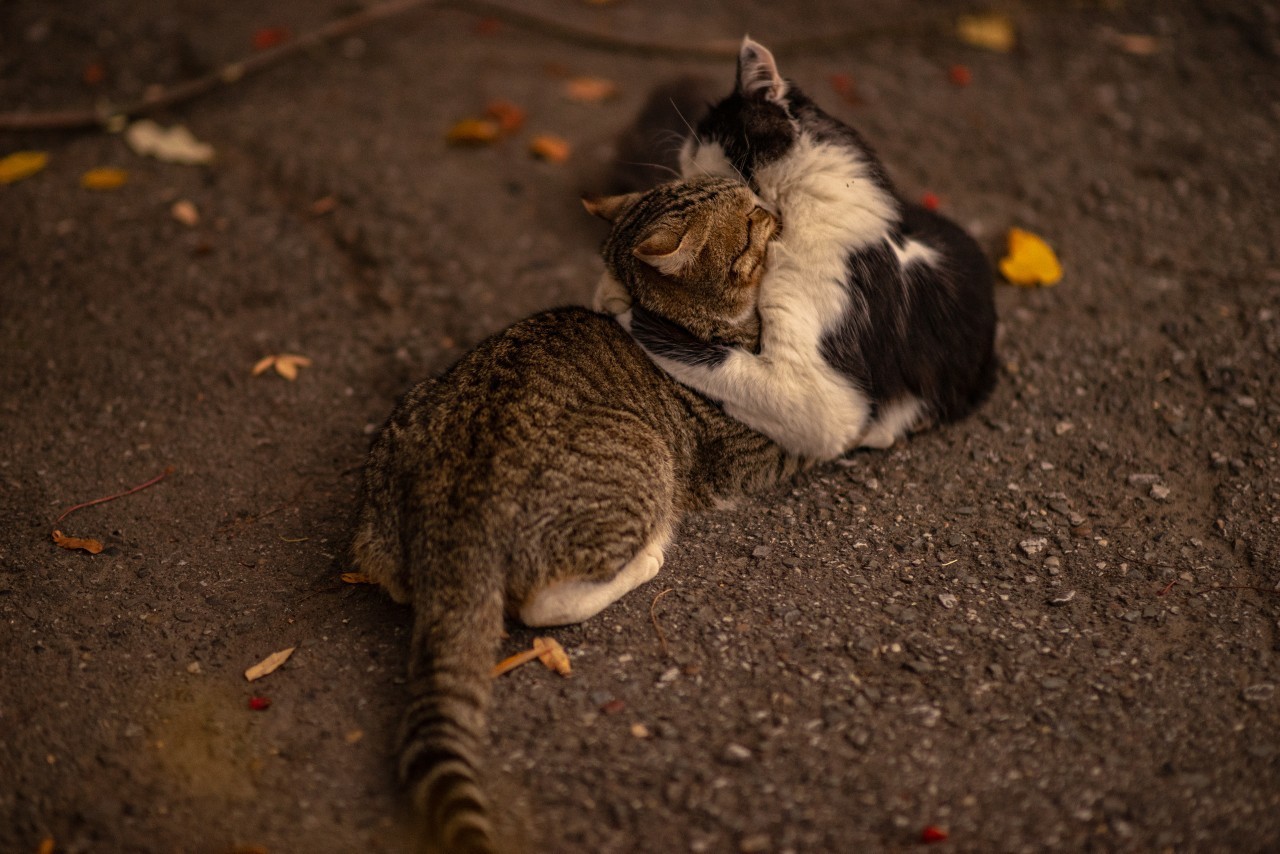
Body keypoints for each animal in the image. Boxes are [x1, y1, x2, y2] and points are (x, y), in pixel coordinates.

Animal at [355, 175, 803, 854]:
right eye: (752, 221)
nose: (771, 204)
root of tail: (454, 519)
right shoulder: (758, 447)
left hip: (394, 472)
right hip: (641, 460)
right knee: (545, 604)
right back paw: (648, 559)